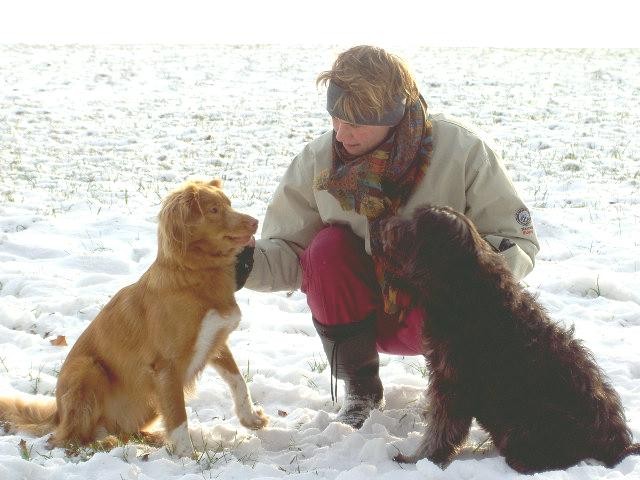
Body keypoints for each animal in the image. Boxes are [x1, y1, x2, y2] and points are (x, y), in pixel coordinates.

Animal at [0, 178, 264, 456]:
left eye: (229, 204)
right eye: (213, 210)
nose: (256, 222)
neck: (194, 274)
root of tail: (58, 415)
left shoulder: (215, 340)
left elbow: (238, 380)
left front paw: (250, 418)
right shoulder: (167, 367)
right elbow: (178, 416)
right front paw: (188, 456)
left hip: (147, 401)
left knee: (119, 431)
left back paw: (148, 439)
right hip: (87, 369)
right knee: (69, 438)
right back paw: (102, 444)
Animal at [382, 204, 636, 470]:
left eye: (414, 224)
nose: (383, 223)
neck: (465, 289)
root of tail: (618, 446)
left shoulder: (453, 384)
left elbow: (441, 430)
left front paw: (418, 459)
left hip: (526, 426)